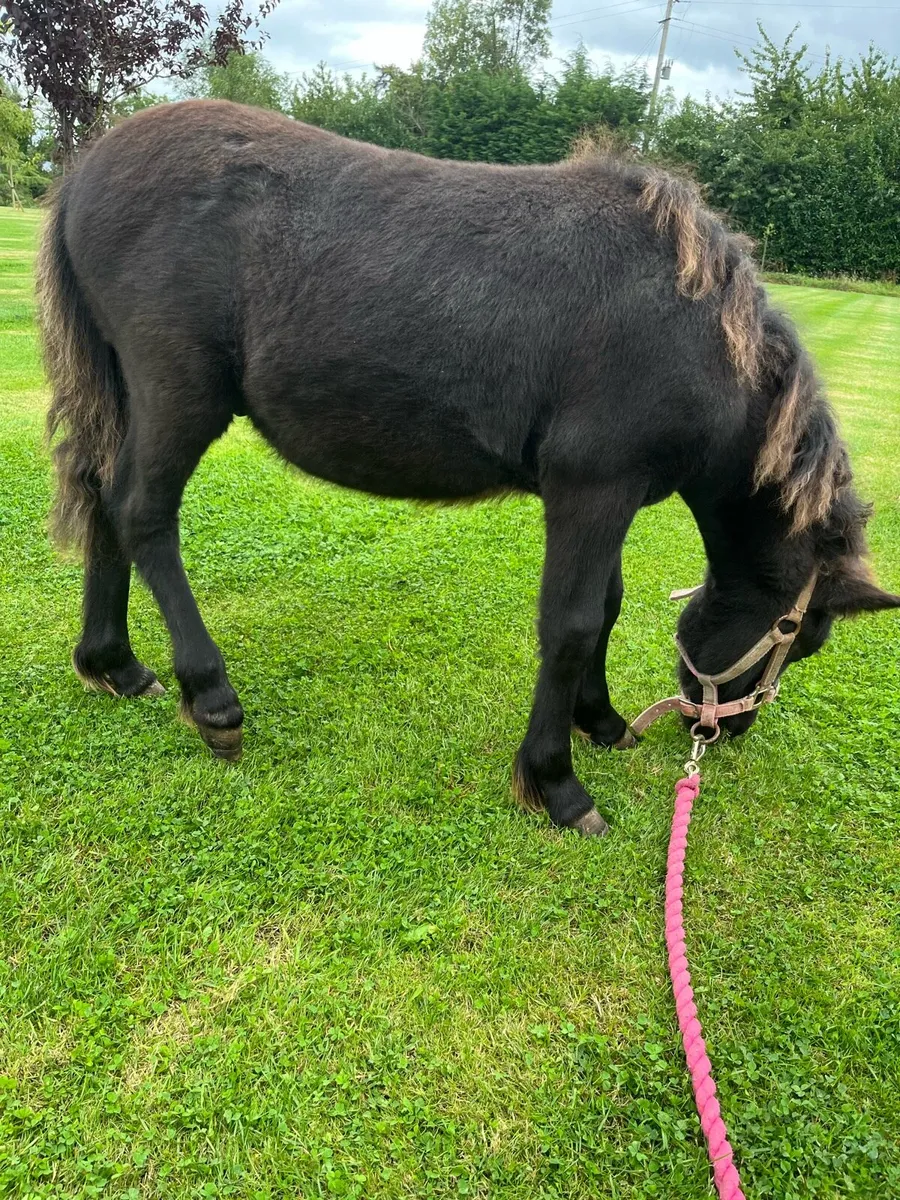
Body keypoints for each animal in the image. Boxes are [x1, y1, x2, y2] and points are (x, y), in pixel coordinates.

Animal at [37, 100, 899, 836]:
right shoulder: (592, 489)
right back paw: (211, 698)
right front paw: (554, 781)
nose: (723, 728)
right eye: (803, 635)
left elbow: (608, 606)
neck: (690, 327)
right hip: (178, 393)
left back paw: (113, 663)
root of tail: (85, 170)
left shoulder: (615, 498)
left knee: (100, 495)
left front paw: (600, 721)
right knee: (142, 512)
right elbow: (573, 624)